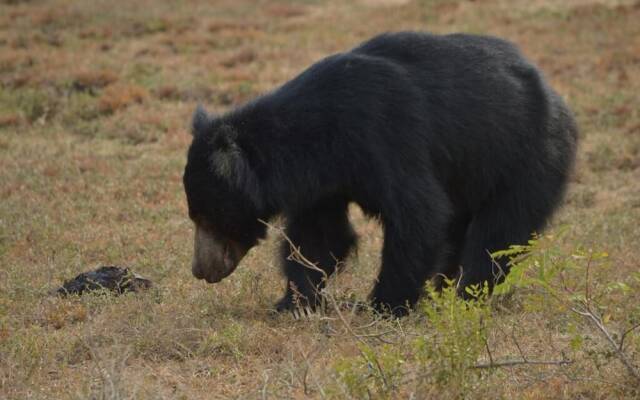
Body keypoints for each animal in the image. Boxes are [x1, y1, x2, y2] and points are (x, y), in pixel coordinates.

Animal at [182, 31, 576, 318]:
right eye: (196, 217)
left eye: (206, 217)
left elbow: (419, 215)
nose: (201, 270)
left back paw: (466, 296)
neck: (316, 138)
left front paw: (382, 306)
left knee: (498, 232)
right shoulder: (323, 182)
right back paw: (441, 291)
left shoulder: (386, 137)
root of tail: (557, 100)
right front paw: (292, 304)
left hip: (526, 158)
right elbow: (319, 236)